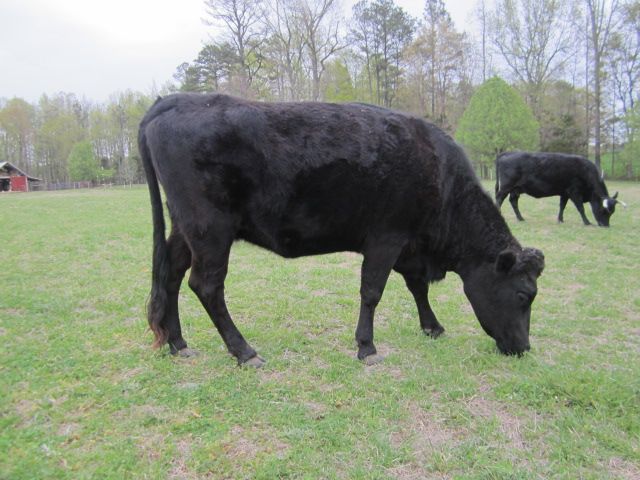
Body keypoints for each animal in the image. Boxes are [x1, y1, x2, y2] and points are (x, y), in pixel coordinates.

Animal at [138, 93, 544, 367]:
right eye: (524, 295)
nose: (524, 348)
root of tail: (177, 98)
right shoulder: (386, 237)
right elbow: (372, 291)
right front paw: (367, 347)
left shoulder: (409, 246)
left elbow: (417, 287)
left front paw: (432, 326)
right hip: (210, 228)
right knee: (206, 286)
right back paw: (244, 351)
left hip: (185, 228)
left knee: (171, 275)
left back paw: (178, 343)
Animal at [495, 151, 624, 226]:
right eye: (604, 211)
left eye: (612, 212)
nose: (605, 225)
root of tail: (507, 153)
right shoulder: (574, 192)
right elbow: (581, 208)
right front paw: (587, 222)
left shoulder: (565, 193)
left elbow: (562, 206)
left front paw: (560, 219)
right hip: (506, 186)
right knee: (499, 198)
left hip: (516, 189)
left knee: (513, 201)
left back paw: (521, 218)